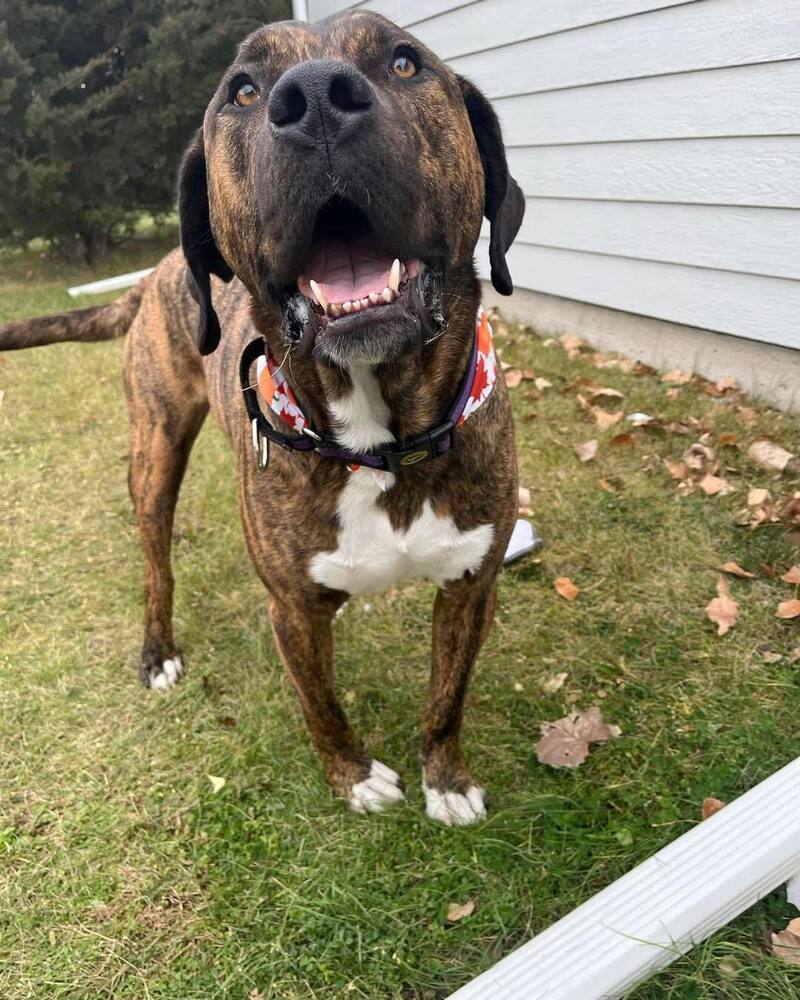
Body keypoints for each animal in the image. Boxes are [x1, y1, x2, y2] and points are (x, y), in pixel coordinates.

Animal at [1, 9, 524, 828]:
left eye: (405, 62)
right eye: (242, 91)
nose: (314, 101)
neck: (381, 440)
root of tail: (155, 273)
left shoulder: (471, 586)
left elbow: (447, 697)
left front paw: (445, 779)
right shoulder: (292, 613)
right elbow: (322, 705)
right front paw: (353, 776)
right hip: (154, 456)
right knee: (156, 566)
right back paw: (157, 650)